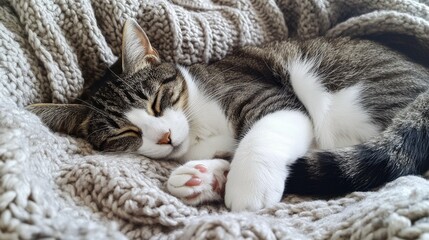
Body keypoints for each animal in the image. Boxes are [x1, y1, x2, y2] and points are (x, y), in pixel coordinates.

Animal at [27, 18, 428, 210]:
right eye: (123, 134)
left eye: (157, 100)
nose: (165, 137)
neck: (198, 129)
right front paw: (205, 176)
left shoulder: (269, 96)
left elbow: (264, 133)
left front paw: (248, 184)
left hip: (351, 100)